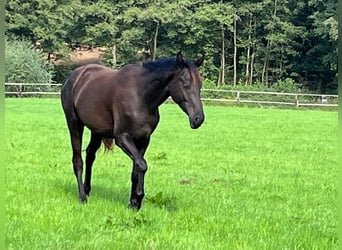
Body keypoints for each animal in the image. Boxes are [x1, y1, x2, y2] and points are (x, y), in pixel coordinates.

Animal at [61, 50, 204, 209]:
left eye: (200, 84)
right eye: (185, 83)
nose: (198, 119)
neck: (141, 97)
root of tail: (72, 77)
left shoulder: (143, 140)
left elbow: (136, 168)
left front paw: (133, 202)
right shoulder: (122, 138)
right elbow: (142, 165)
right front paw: (138, 198)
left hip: (97, 131)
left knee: (90, 155)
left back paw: (87, 190)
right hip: (74, 124)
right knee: (78, 161)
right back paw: (82, 197)